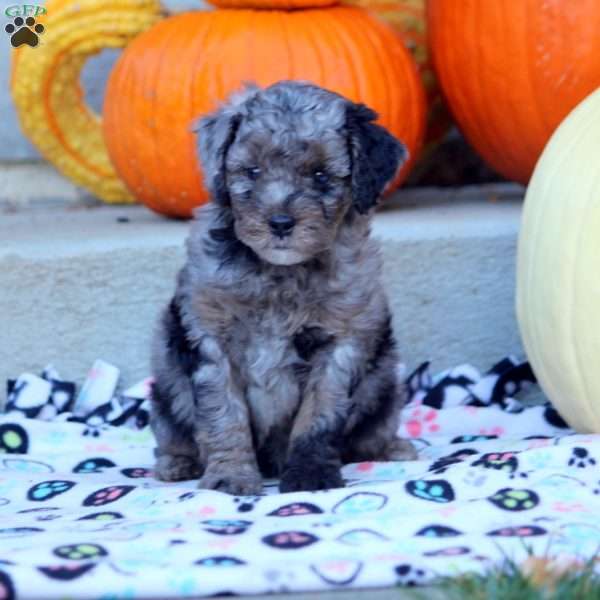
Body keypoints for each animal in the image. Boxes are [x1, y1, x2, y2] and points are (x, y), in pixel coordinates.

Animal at [149, 79, 418, 494]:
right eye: (253, 171)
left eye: (321, 175)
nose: (279, 223)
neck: (281, 274)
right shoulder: (211, 337)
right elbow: (223, 413)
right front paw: (231, 476)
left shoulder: (339, 342)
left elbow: (319, 414)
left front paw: (310, 474)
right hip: (166, 384)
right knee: (173, 433)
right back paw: (177, 464)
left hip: (383, 384)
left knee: (372, 432)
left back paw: (394, 448)